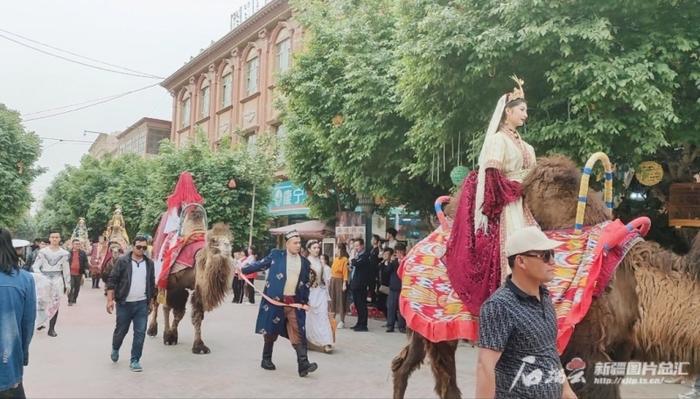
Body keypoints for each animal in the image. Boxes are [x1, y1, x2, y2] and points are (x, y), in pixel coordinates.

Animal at [146, 216, 234, 356]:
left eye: (230, 240)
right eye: (214, 240)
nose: (227, 247)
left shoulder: (195, 288)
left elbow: (188, 314)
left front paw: (197, 345)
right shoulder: (172, 284)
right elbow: (168, 308)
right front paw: (168, 336)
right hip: (158, 277)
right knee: (156, 302)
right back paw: (152, 329)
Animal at [392, 155, 696, 399]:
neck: (630, 282)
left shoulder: (618, 349)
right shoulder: (583, 349)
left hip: (422, 322)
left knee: (403, 363)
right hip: (437, 320)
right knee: (443, 376)